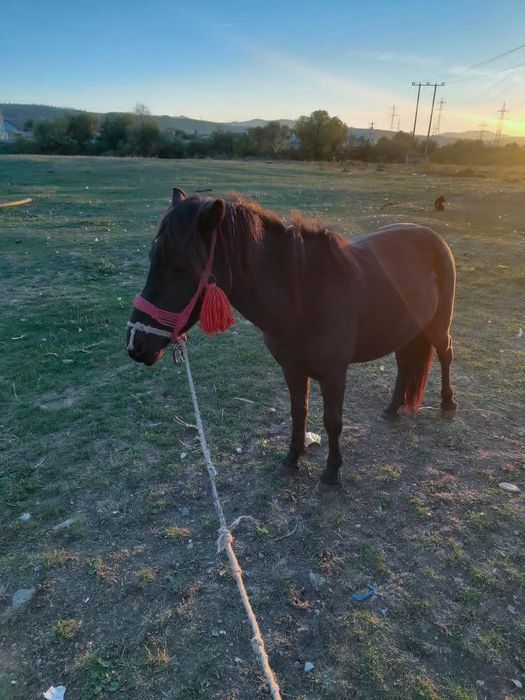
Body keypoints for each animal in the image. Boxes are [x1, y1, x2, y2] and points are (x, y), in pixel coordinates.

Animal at [127, 187, 457, 487]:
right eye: (152, 257)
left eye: (181, 267)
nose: (136, 344)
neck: (301, 294)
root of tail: (433, 237)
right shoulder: (292, 368)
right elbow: (299, 412)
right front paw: (291, 459)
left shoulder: (334, 373)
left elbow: (332, 421)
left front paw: (331, 474)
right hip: (407, 329)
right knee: (404, 365)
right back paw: (392, 409)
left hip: (438, 326)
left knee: (445, 354)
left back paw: (447, 404)